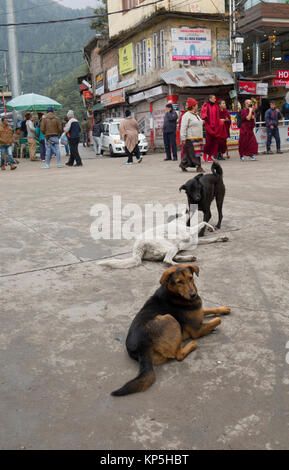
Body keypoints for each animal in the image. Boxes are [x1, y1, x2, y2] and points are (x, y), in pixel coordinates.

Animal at [98, 213, 228, 268]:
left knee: (170, 258)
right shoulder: (188, 233)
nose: (188, 208)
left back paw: (189, 258)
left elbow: (211, 238)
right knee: (167, 260)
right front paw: (210, 227)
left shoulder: (195, 241)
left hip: (171, 248)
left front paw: (222, 238)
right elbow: (203, 222)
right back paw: (180, 265)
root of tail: (138, 247)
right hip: (171, 246)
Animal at [111, 264, 230, 396]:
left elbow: (209, 309)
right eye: (179, 282)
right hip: (169, 318)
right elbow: (218, 320)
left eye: (190, 278)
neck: (175, 294)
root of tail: (141, 346)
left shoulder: (198, 312)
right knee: (178, 355)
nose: (193, 295)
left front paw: (224, 309)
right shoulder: (197, 329)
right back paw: (191, 345)